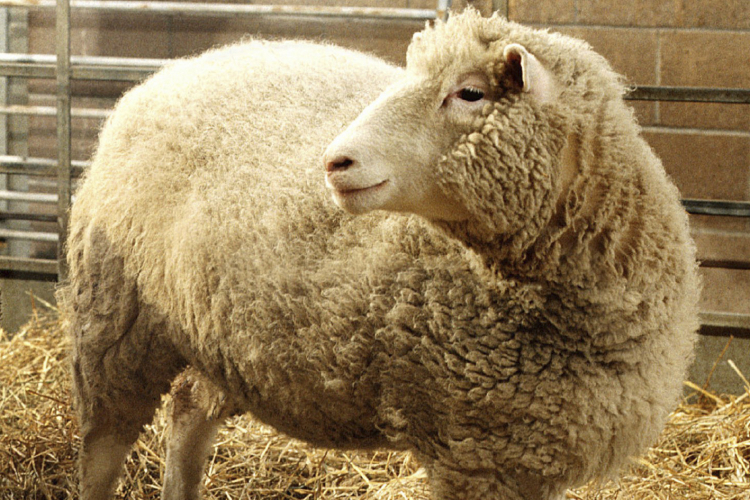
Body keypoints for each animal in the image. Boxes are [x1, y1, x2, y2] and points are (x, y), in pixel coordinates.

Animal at [60, 10, 700, 500]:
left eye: (470, 93)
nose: (334, 162)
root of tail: (169, 73)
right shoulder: (473, 453)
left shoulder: (527, 453)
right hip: (116, 318)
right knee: (103, 448)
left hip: (223, 335)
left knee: (189, 410)